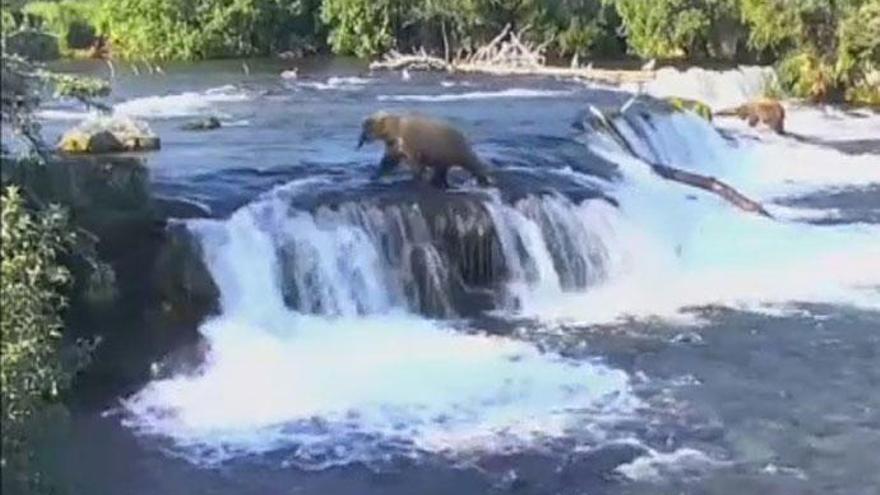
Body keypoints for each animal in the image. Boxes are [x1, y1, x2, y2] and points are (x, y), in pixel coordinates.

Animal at [358, 111, 496, 189]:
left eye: (368, 126)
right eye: (364, 127)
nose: (363, 138)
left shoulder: (411, 143)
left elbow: (415, 164)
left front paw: (417, 179)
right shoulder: (393, 145)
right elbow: (388, 161)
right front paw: (374, 176)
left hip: (454, 147)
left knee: (472, 161)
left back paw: (484, 179)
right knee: (441, 169)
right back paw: (439, 182)